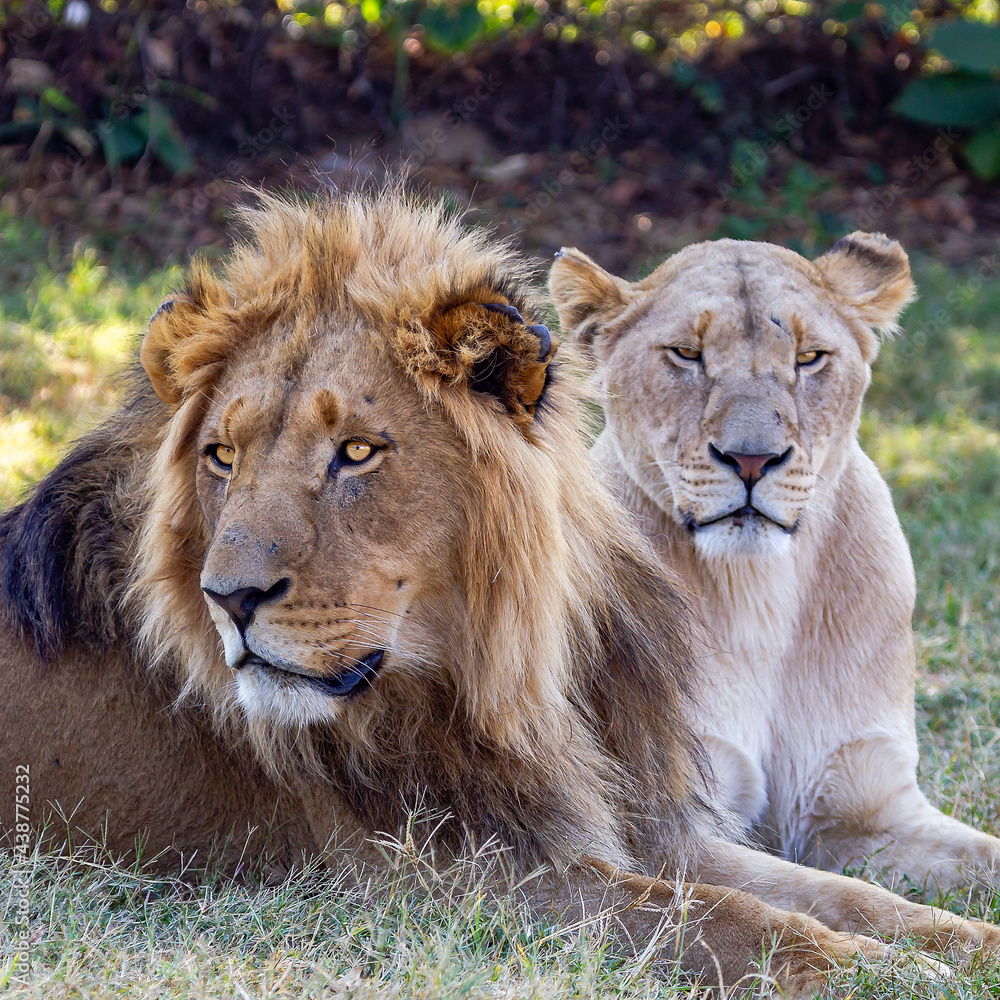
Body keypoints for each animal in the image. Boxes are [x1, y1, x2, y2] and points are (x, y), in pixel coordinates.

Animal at [548, 232, 1000, 897]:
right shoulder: (670, 831)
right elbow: (853, 900)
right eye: (686, 354)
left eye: (810, 357)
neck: (757, 590)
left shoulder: (865, 807)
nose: (753, 459)